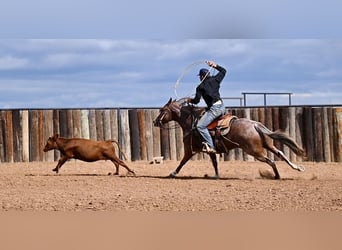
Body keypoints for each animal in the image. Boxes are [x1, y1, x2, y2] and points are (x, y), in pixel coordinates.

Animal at [152, 98, 304, 180]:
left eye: (162, 110)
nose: (155, 121)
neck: (191, 121)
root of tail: (255, 124)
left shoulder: (190, 150)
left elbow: (182, 162)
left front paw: (173, 173)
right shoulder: (210, 150)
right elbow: (215, 163)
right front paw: (216, 176)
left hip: (255, 151)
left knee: (271, 161)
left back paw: (277, 176)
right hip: (267, 145)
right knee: (281, 154)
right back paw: (297, 168)